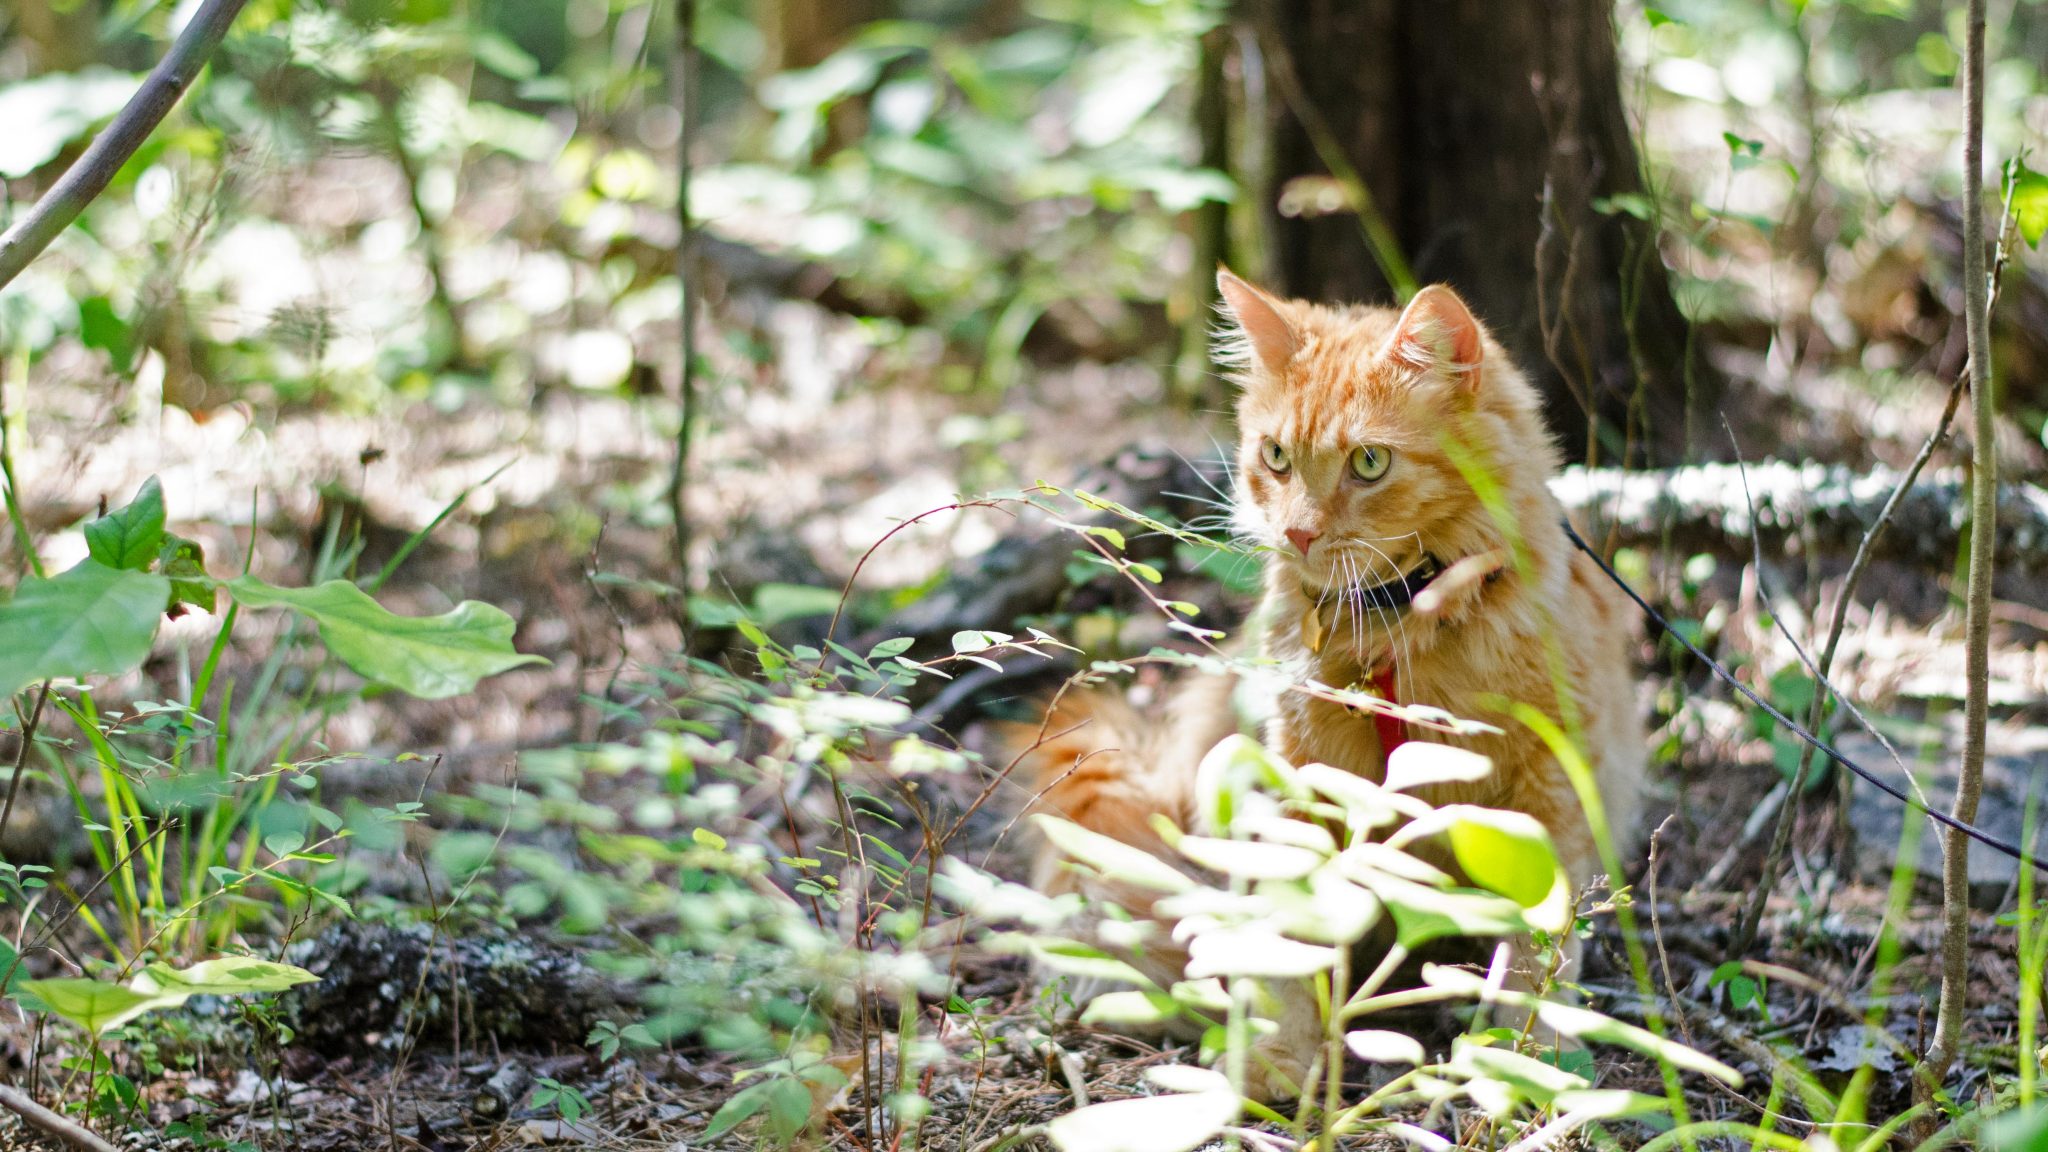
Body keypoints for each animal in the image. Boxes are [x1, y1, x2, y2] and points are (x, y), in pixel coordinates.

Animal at [1024, 268, 1646, 1090]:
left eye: (1370, 463)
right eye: (1277, 456)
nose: (1297, 532)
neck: (1396, 629)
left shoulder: (1551, 789)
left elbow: (1534, 953)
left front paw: (1523, 1059)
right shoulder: (1298, 778)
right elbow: (1291, 937)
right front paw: (1282, 1057)